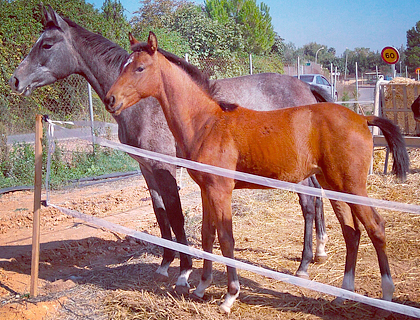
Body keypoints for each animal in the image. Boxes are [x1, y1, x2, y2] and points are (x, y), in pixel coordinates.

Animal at [9, 5, 330, 296]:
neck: (146, 101)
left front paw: (185, 271)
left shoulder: (165, 167)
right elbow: (160, 212)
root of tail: (305, 88)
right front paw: (165, 264)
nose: (15, 80)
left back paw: (303, 267)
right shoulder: (147, 168)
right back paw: (319, 251)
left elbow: (176, 215)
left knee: (308, 202)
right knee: (317, 197)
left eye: (47, 44)